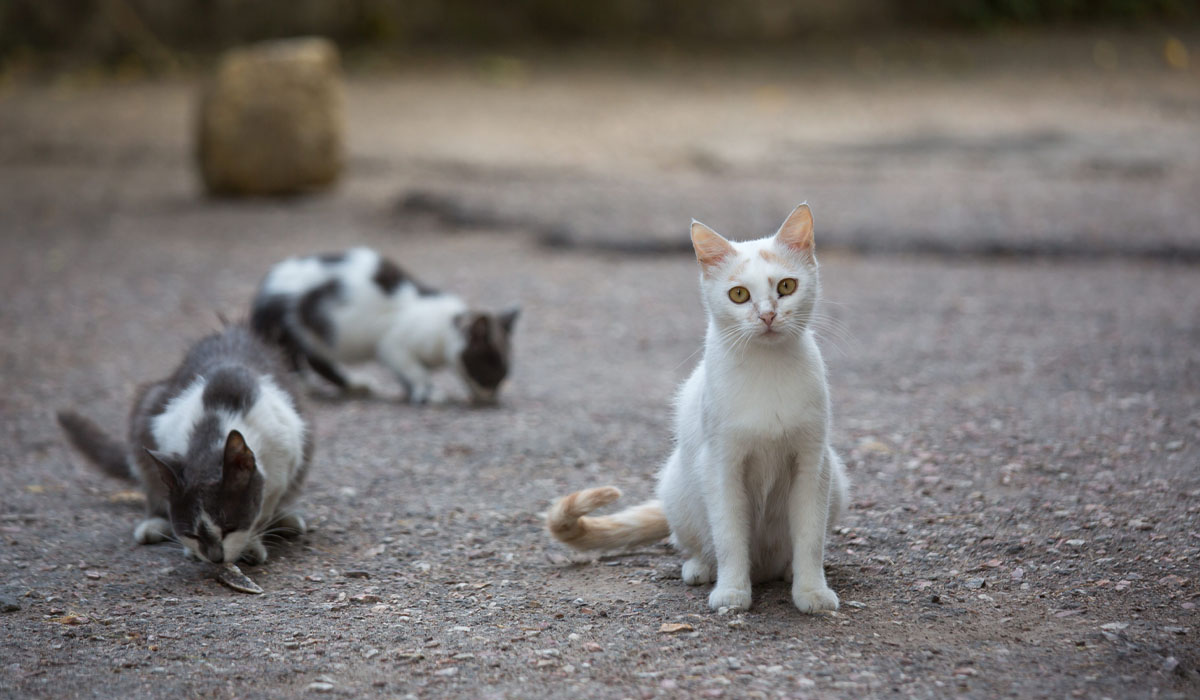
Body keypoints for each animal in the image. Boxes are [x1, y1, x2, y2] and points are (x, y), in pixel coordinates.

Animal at [58, 326, 312, 566]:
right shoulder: (163, 428)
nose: (215, 557)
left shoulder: (286, 447)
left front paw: (252, 543)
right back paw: (154, 523)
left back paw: (285, 519)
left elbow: (265, 507)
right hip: (149, 405)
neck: (217, 418)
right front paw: (193, 550)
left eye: (229, 527)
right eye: (192, 534)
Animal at [250, 247, 518, 405]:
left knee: (317, 360)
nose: (492, 396)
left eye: (504, 375)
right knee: (292, 357)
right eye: (490, 371)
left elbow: (407, 374)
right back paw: (303, 386)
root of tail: (265, 287)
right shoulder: (394, 344)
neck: (446, 326)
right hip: (292, 326)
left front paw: (413, 391)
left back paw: (354, 385)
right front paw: (428, 392)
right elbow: (414, 369)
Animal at [549, 204, 849, 614]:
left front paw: (812, 591)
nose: (767, 315)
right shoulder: (721, 464)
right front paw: (732, 592)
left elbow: (810, 537)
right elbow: (729, 535)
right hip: (678, 483)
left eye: (786, 287)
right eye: (739, 294)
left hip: (837, 479)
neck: (767, 368)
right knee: (696, 542)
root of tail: (765, 569)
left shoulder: (812, 463)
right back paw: (701, 568)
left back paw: (786, 571)